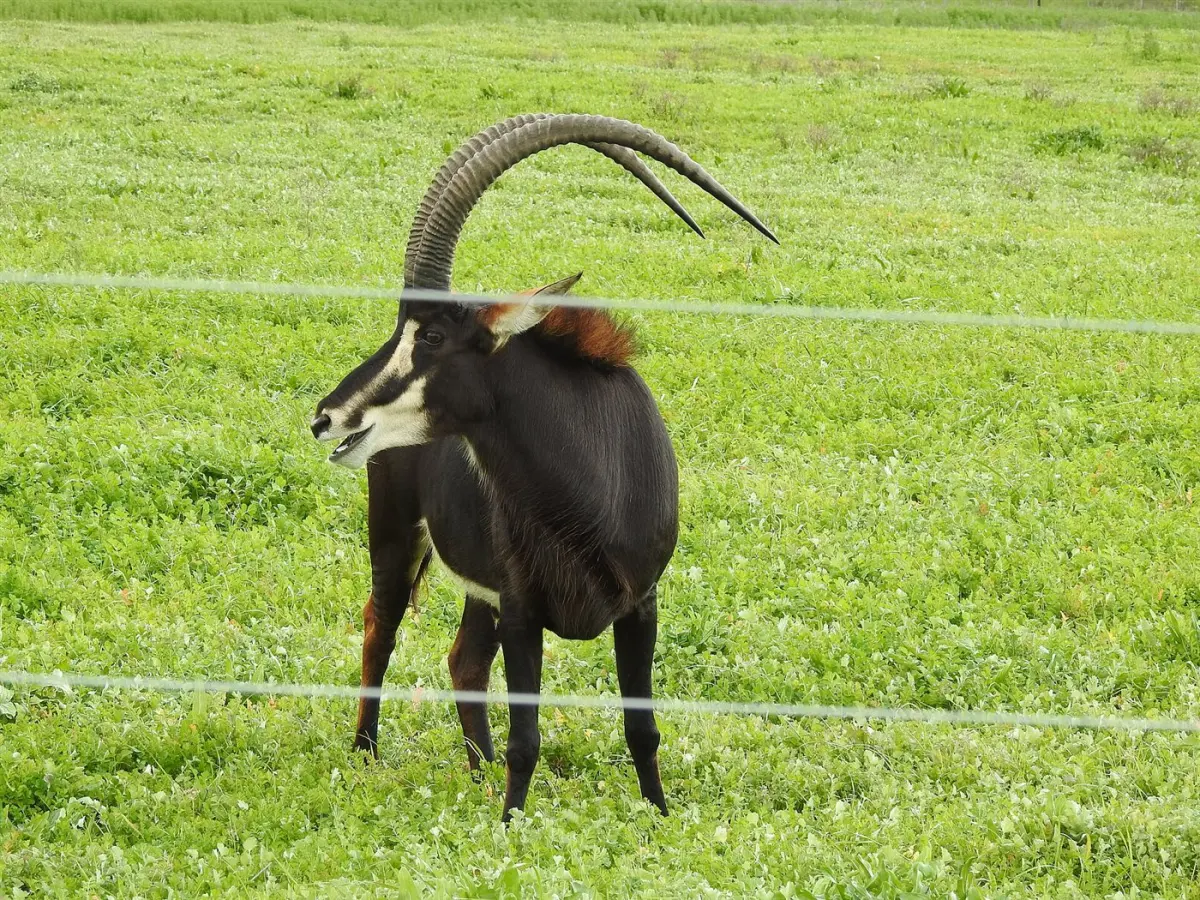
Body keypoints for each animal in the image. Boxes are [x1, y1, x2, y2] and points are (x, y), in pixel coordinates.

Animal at [311, 113, 776, 819]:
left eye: (431, 335)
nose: (326, 417)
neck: (589, 486)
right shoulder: (523, 609)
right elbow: (525, 739)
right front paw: (512, 826)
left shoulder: (640, 606)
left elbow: (642, 726)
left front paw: (659, 817)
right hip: (396, 537)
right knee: (379, 627)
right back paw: (366, 753)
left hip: (480, 585)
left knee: (463, 661)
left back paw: (475, 771)